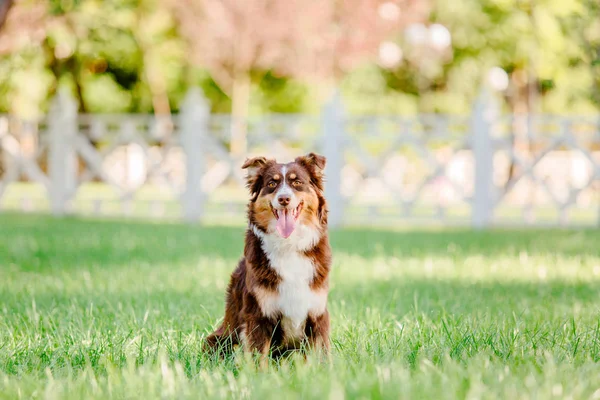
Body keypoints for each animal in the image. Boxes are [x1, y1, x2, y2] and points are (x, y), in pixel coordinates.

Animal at [204, 152, 330, 362]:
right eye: (272, 183)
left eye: (297, 182)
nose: (284, 198)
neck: (288, 245)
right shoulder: (258, 314)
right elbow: (258, 358)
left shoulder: (317, 313)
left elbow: (322, 357)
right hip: (221, 339)